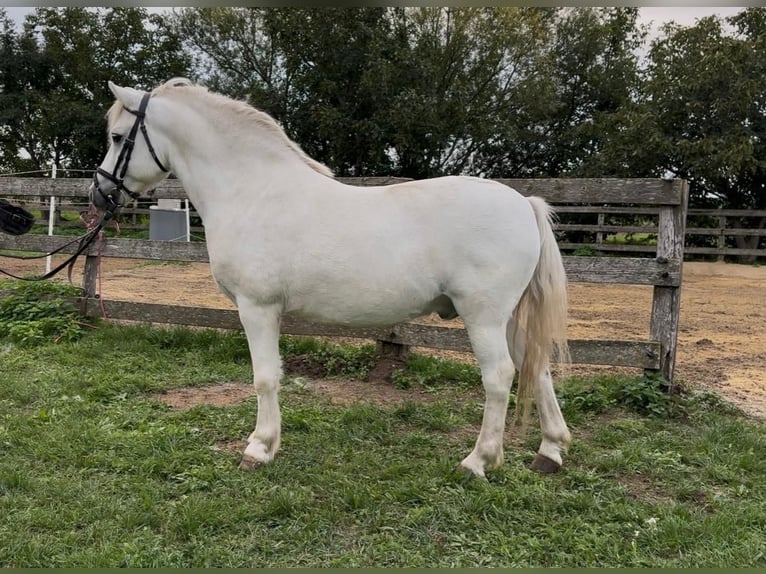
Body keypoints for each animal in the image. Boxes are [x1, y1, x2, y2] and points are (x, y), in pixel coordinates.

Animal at [90, 78, 571, 477]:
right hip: (508, 317)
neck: (252, 191)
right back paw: (549, 451)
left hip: (484, 317)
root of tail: (523, 203)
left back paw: (478, 461)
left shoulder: (257, 308)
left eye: (117, 137)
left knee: (499, 377)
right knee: (537, 367)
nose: (98, 193)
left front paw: (259, 448)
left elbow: (265, 376)